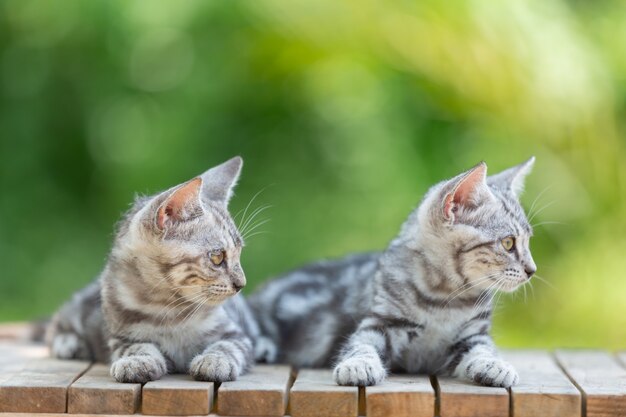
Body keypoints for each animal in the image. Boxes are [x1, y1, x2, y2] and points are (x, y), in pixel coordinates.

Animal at [45, 157, 258, 384]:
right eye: (217, 257)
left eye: (239, 252)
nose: (241, 284)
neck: (169, 310)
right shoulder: (122, 337)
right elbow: (137, 346)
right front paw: (136, 361)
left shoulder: (237, 335)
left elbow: (227, 346)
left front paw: (214, 361)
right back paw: (68, 343)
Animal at [251, 157, 532, 386]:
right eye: (508, 243)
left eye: (528, 240)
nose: (532, 269)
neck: (443, 298)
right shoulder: (379, 323)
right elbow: (361, 346)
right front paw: (358, 365)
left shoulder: (472, 335)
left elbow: (484, 350)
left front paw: (496, 365)